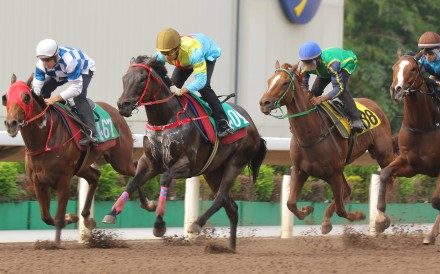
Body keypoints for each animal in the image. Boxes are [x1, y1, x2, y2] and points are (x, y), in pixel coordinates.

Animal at [2, 74, 154, 245]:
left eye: (26, 97)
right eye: (5, 97)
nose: (11, 124)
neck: (44, 139)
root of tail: (117, 112)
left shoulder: (63, 180)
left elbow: (58, 217)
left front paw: (56, 243)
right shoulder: (38, 181)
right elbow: (46, 216)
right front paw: (71, 217)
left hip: (120, 160)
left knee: (135, 170)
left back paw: (148, 204)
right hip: (83, 166)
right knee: (95, 176)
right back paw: (88, 218)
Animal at [105, 55, 266, 250]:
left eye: (142, 79)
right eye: (124, 78)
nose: (123, 105)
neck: (165, 119)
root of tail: (252, 125)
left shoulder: (187, 164)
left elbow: (165, 179)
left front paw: (159, 224)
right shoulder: (150, 162)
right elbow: (132, 183)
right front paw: (112, 212)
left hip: (236, 162)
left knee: (220, 197)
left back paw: (196, 224)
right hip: (213, 172)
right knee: (232, 208)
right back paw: (231, 248)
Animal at [258, 60, 396, 233]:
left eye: (284, 83)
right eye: (269, 81)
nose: (264, 103)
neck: (312, 135)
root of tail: (375, 105)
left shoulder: (334, 173)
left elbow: (341, 210)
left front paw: (358, 215)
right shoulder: (301, 170)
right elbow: (290, 203)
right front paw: (307, 210)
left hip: (382, 152)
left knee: (389, 176)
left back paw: (380, 219)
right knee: (348, 189)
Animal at [378, 53, 440, 244]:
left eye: (413, 68)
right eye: (394, 67)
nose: (396, 90)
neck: (423, 126)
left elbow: (436, 200)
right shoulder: (410, 164)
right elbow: (385, 173)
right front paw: (380, 220)